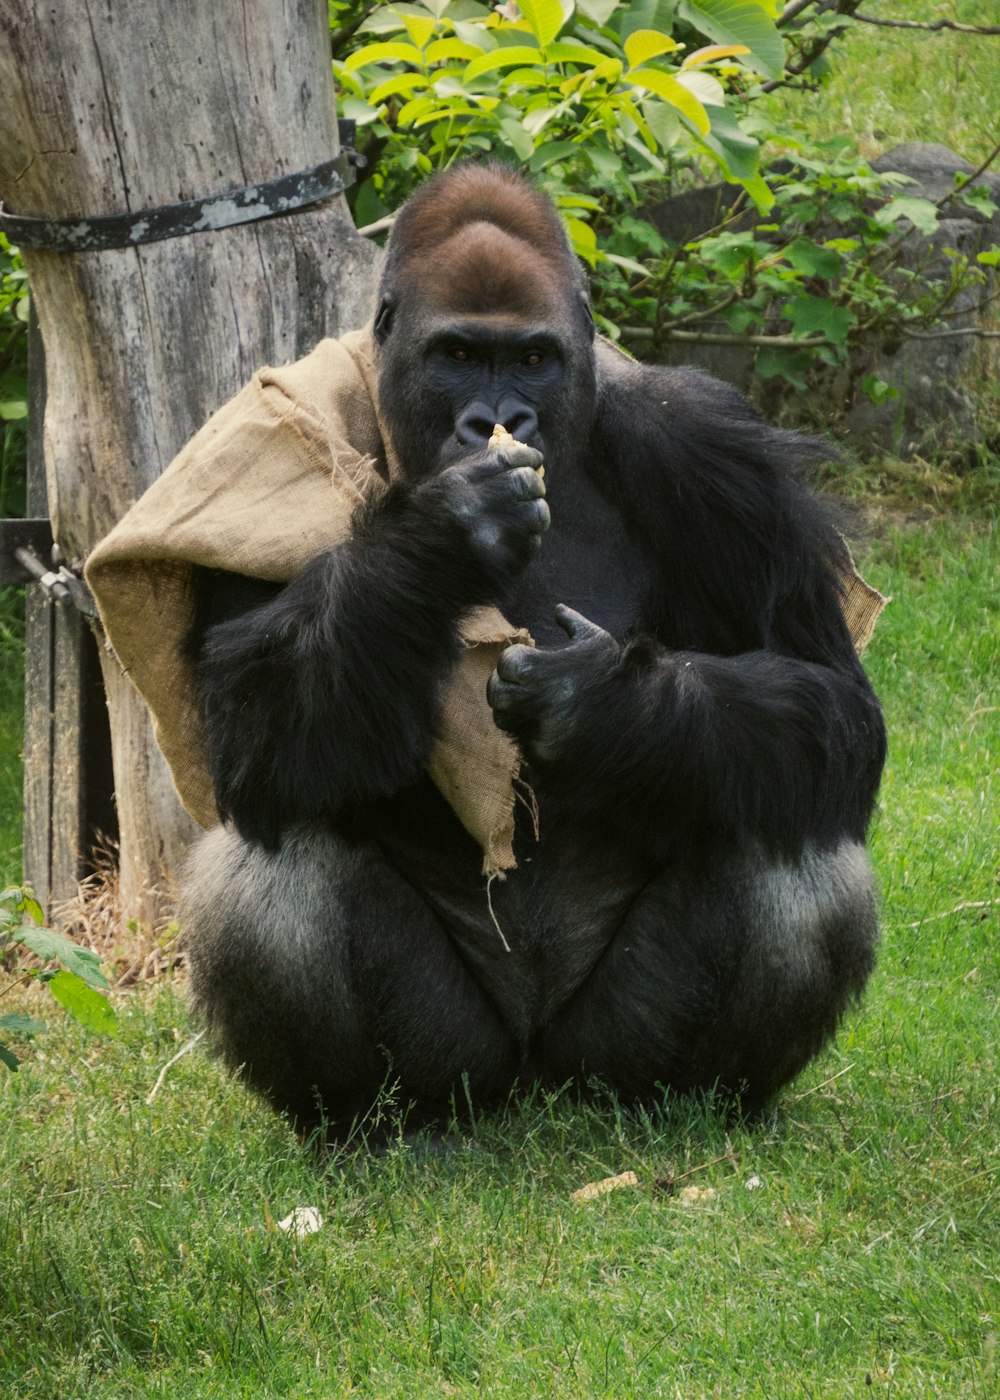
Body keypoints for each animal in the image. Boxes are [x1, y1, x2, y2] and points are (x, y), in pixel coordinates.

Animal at [179, 163, 879, 1142]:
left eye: (535, 359)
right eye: (459, 355)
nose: (497, 420)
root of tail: (537, 1083)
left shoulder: (715, 446)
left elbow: (833, 700)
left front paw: (607, 704)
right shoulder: (255, 456)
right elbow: (250, 739)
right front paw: (442, 535)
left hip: (602, 1057)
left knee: (789, 813)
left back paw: (700, 1103)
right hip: (468, 1065)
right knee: (274, 868)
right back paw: (371, 1125)